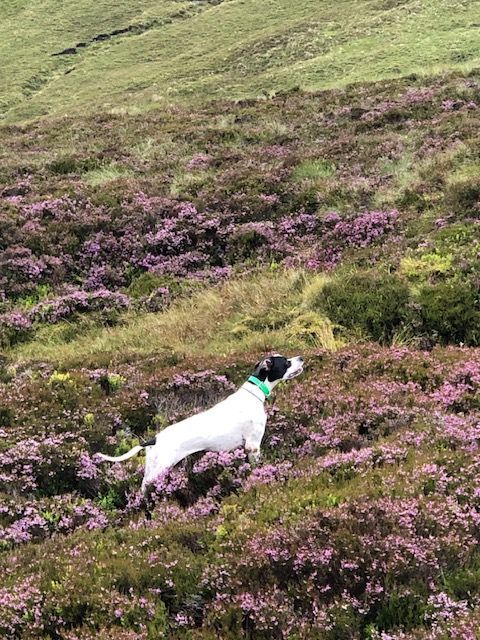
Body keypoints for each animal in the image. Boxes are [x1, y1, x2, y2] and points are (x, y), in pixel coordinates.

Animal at [97, 356, 304, 490]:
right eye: (286, 362)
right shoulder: (253, 446)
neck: (253, 394)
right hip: (159, 469)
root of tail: (154, 439)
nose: (301, 358)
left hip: (153, 468)